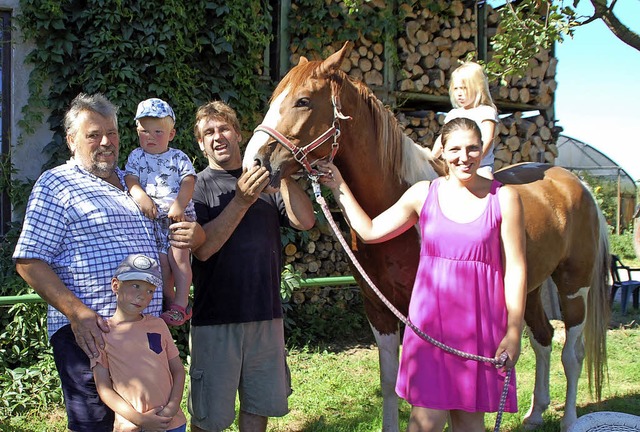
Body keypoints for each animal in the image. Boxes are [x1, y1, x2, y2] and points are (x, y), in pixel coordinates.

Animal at [242, 41, 608, 432]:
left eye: (304, 101)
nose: (254, 162)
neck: (394, 208)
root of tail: (576, 183)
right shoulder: (379, 308)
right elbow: (390, 380)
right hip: (529, 288)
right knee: (543, 340)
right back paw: (535, 413)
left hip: (574, 286)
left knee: (572, 353)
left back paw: (569, 419)